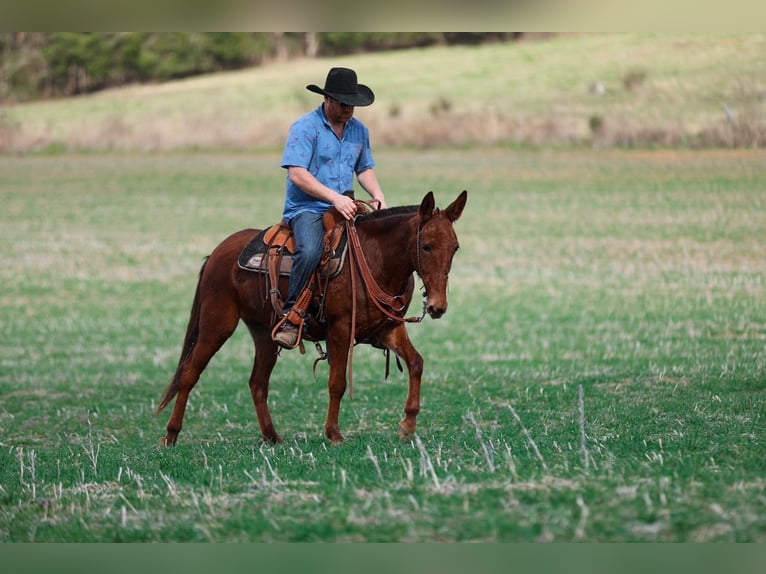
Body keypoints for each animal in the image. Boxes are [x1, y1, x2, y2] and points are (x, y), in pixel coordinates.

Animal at [157, 190, 467, 445]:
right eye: (426, 246)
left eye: (455, 247)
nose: (437, 306)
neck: (373, 259)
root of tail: (217, 252)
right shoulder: (340, 330)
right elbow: (337, 382)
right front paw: (333, 433)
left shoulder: (388, 329)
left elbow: (416, 363)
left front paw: (408, 425)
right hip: (217, 323)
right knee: (190, 372)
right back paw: (171, 435)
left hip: (264, 334)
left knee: (258, 383)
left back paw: (272, 437)